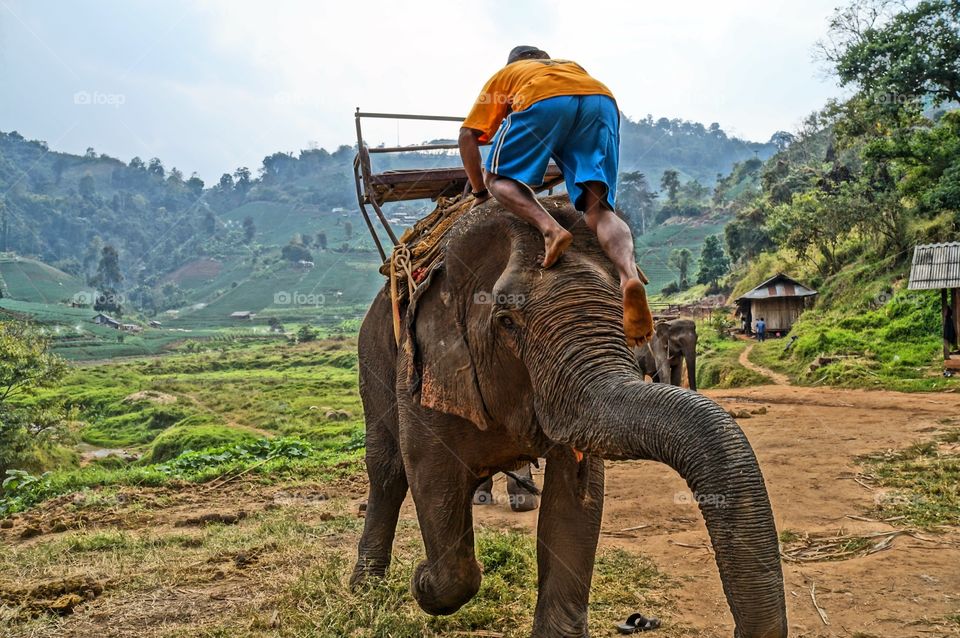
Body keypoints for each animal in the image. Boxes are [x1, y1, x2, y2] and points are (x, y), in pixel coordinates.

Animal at [348, 199, 784, 638]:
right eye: (506, 322)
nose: (737, 628)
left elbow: (577, 496)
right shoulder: (421, 370)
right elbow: (430, 474)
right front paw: (420, 581)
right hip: (372, 358)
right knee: (388, 470)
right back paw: (365, 590)